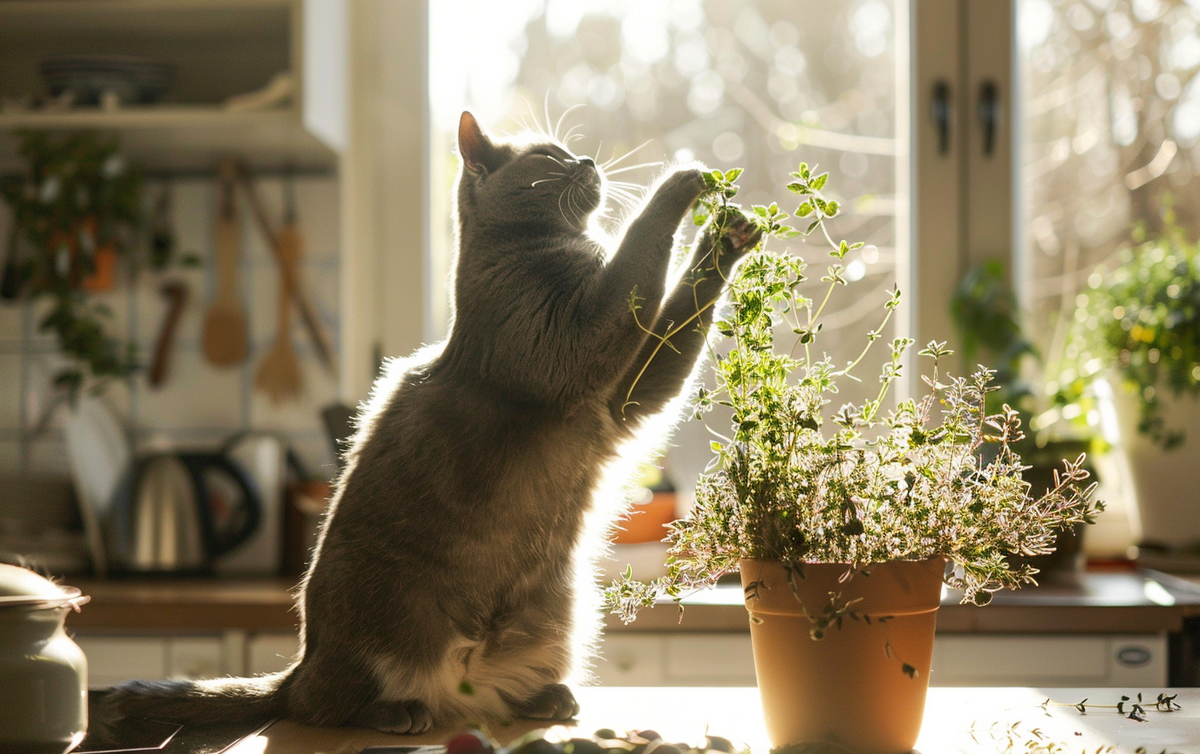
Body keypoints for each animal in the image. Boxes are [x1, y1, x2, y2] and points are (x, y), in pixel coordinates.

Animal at [103, 110, 758, 729]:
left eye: (569, 150)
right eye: (549, 156)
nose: (588, 159)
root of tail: (298, 668)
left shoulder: (629, 395)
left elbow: (678, 315)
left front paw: (729, 234)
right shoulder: (579, 341)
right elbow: (638, 245)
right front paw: (682, 179)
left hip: (562, 609)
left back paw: (548, 699)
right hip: (388, 617)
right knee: (322, 706)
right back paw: (397, 713)